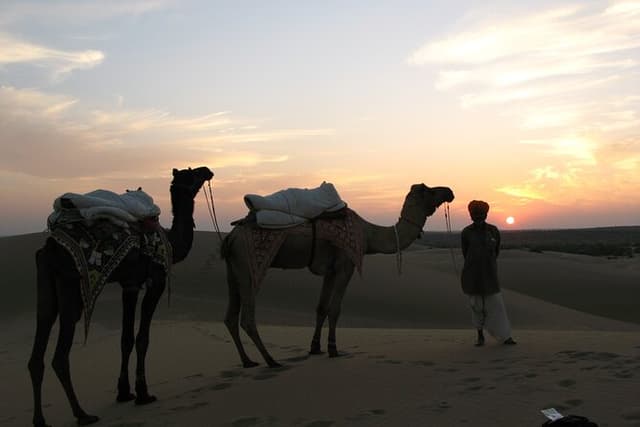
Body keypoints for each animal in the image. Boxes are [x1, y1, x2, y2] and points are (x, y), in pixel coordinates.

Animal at [28, 166, 214, 427]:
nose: (207, 170)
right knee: (60, 355)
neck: (171, 243)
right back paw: (82, 414)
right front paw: (144, 393)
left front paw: (124, 392)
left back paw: (40, 420)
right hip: (70, 287)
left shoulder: (129, 284)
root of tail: (49, 248)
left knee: (39, 342)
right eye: (191, 173)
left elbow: (125, 339)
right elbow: (142, 338)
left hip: (46, 285)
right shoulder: (154, 282)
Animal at [221, 183, 454, 368]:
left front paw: (315, 347)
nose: (449, 191)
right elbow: (335, 309)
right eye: (429, 190)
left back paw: (248, 361)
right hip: (248, 265)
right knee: (247, 318)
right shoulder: (345, 265)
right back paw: (270, 360)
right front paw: (333, 349)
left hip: (232, 269)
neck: (368, 235)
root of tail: (231, 237)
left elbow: (321, 308)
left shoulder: (330, 270)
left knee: (230, 317)